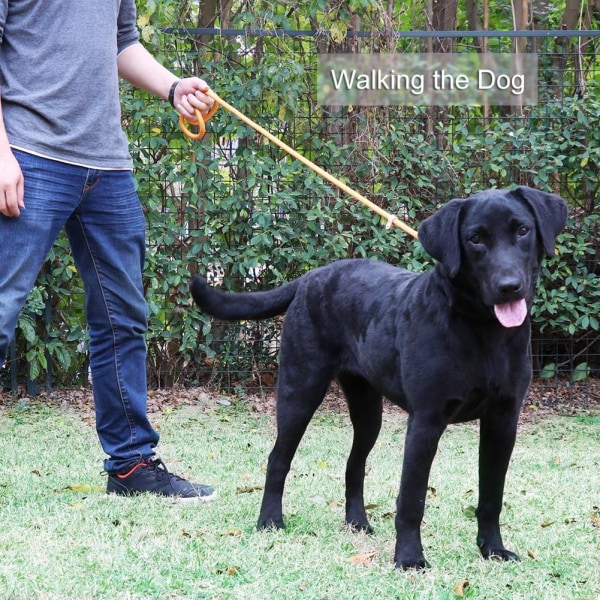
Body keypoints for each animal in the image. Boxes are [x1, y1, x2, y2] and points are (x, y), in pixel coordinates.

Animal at [191, 185, 568, 568]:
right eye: (475, 239)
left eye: (522, 230)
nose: (509, 286)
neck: (482, 331)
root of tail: (311, 276)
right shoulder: (426, 421)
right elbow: (412, 499)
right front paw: (410, 558)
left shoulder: (503, 421)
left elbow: (492, 495)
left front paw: (492, 549)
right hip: (299, 391)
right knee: (278, 459)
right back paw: (270, 521)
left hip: (368, 411)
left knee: (354, 464)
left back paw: (357, 522)